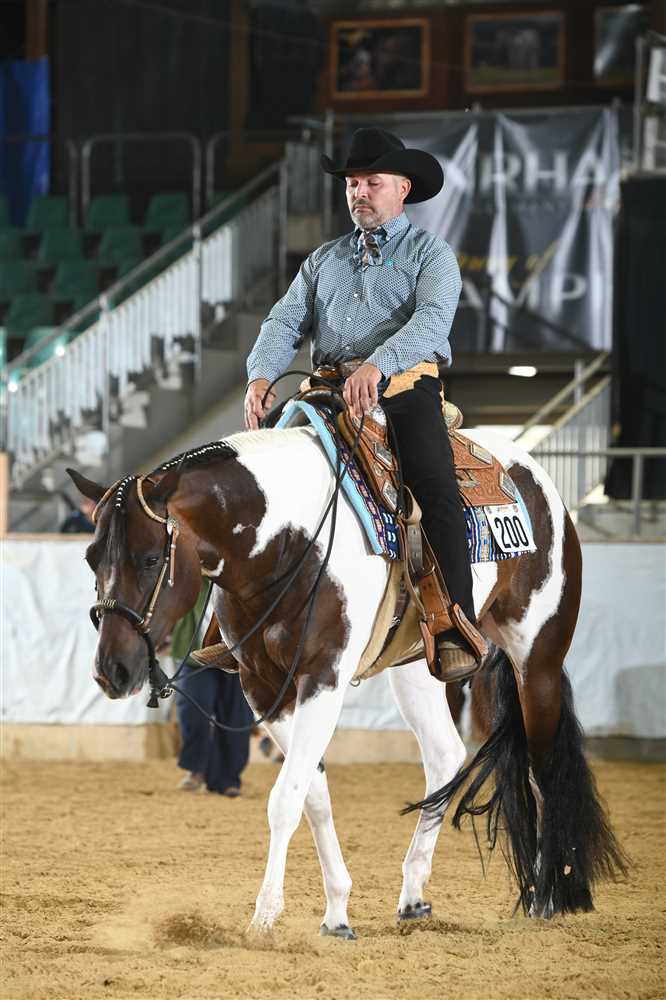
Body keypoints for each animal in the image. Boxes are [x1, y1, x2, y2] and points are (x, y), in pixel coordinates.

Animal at [68, 421, 627, 938]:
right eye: (91, 558)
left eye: (150, 558)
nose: (111, 670)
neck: (287, 542)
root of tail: (534, 475)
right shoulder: (264, 687)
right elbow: (310, 791)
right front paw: (336, 910)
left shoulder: (324, 676)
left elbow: (284, 799)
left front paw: (264, 918)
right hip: (421, 668)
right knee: (445, 755)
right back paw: (414, 894)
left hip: (538, 660)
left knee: (542, 767)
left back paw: (548, 897)